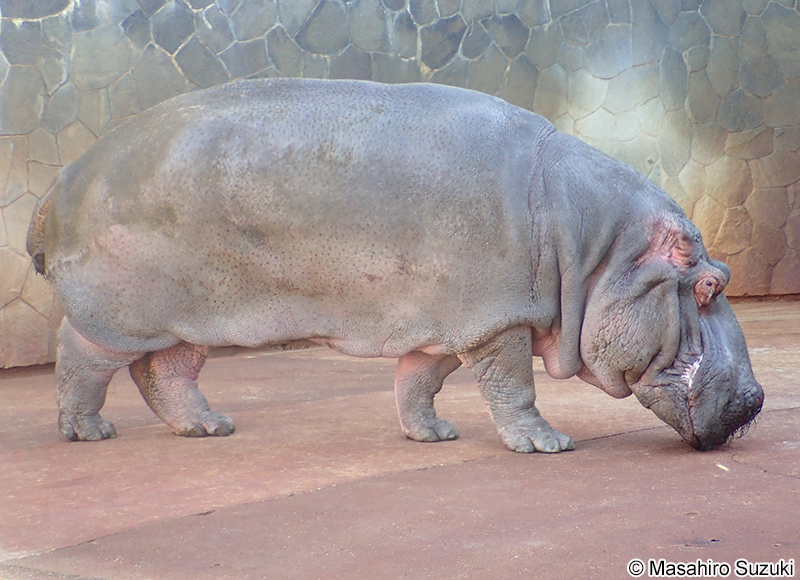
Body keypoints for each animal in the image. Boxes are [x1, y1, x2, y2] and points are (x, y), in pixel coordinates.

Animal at [27, 78, 763, 452]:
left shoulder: (446, 323)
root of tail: (59, 183)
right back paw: (88, 431)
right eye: (709, 284)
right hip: (121, 313)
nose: (757, 399)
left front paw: (432, 435)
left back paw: (210, 427)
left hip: (194, 316)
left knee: (166, 371)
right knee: (81, 355)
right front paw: (547, 443)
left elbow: (420, 379)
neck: (598, 249)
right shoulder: (499, 321)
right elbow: (513, 386)